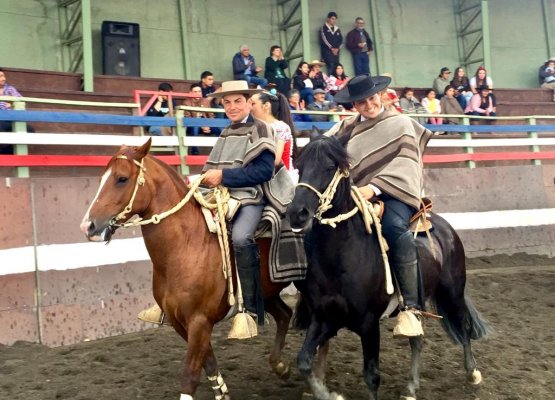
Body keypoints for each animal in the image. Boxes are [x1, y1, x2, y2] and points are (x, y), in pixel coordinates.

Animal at [80, 139, 296, 398]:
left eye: (122, 178)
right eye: (102, 178)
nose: (88, 226)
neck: (186, 246)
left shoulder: (199, 321)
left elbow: (190, 376)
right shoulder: (181, 322)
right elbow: (208, 363)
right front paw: (222, 392)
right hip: (267, 293)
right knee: (285, 315)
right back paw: (281, 366)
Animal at [288, 135, 488, 400]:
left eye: (330, 167)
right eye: (299, 166)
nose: (297, 213)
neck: (341, 259)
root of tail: (446, 228)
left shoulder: (369, 324)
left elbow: (372, 377)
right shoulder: (325, 318)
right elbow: (303, 361)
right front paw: (328, 394)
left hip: (452, 291)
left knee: (463, 325)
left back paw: (473, 372)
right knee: (417, 339)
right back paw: (411, 386)